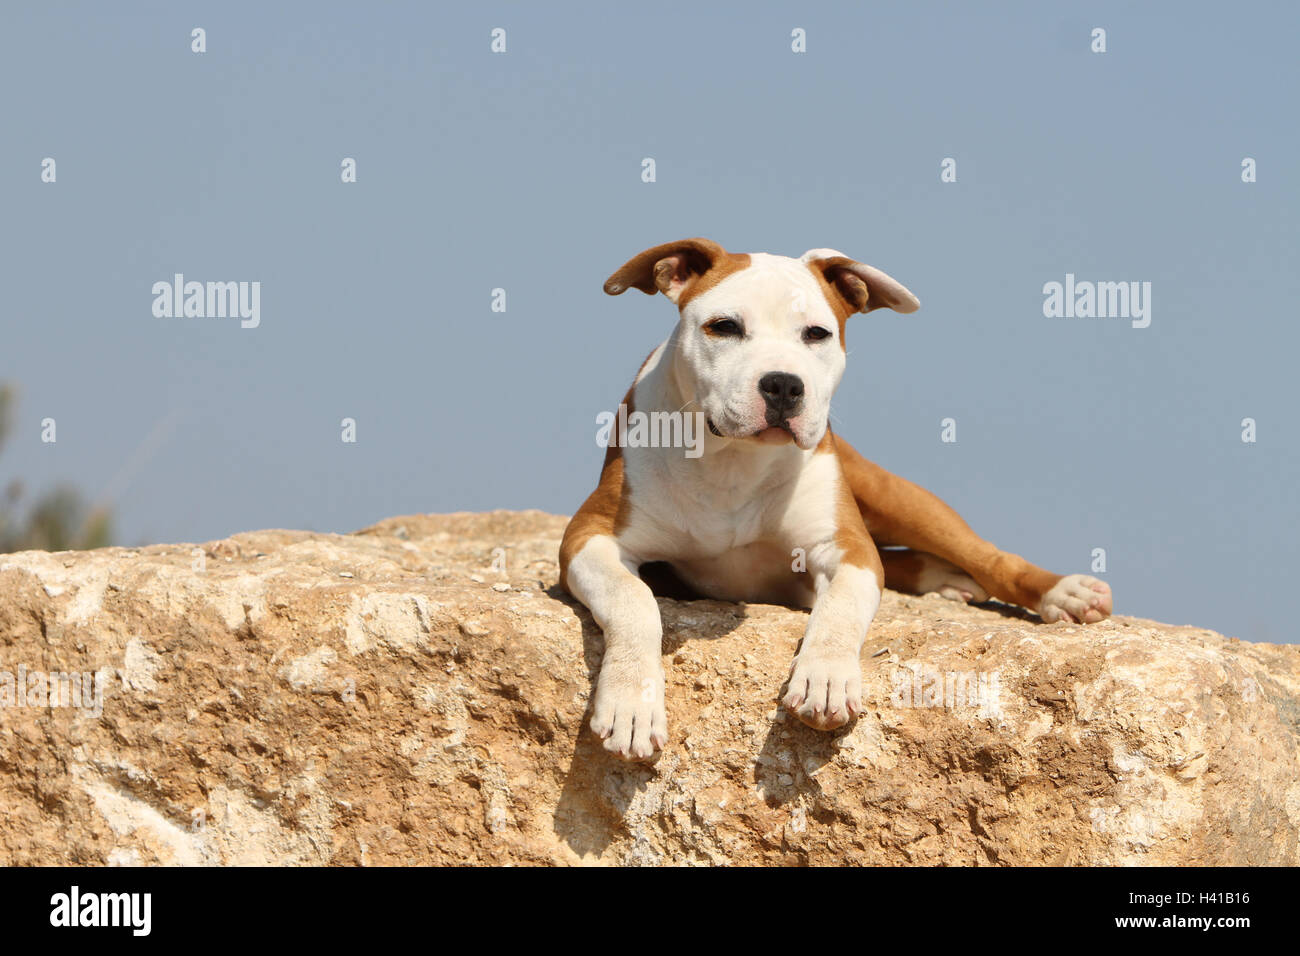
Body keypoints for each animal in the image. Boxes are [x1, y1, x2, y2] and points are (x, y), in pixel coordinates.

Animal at [553, 239, 1112, 764]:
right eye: (724, 327)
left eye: (816, 334)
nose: (783, 384)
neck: (734, 462)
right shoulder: (589, 537)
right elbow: (634, 599)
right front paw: (632, 702)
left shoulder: (845, 546)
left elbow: (841, 608)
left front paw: (825, 677)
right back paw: (941, 577)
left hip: (890, 494)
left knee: (987, 557)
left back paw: (1062, 592)